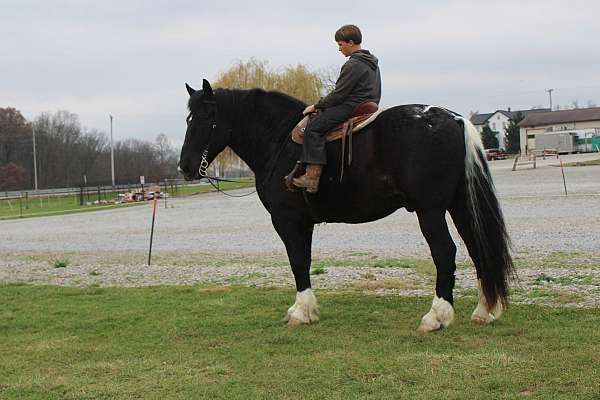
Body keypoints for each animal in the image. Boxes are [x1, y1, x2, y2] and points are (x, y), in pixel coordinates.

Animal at [178, 79, 510, 332]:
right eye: (188, 120)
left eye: (205, 118)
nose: (185, 167)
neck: (280, 140)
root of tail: (453, 119)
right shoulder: (304, 223)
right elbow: (305, 260)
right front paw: (307, 310)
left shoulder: (287, 220)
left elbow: (297, 261)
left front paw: (301, 312)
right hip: (459, 205)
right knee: (476, 248)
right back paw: (484, 311)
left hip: (430, 211)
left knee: (445, 253)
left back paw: (436, 316)